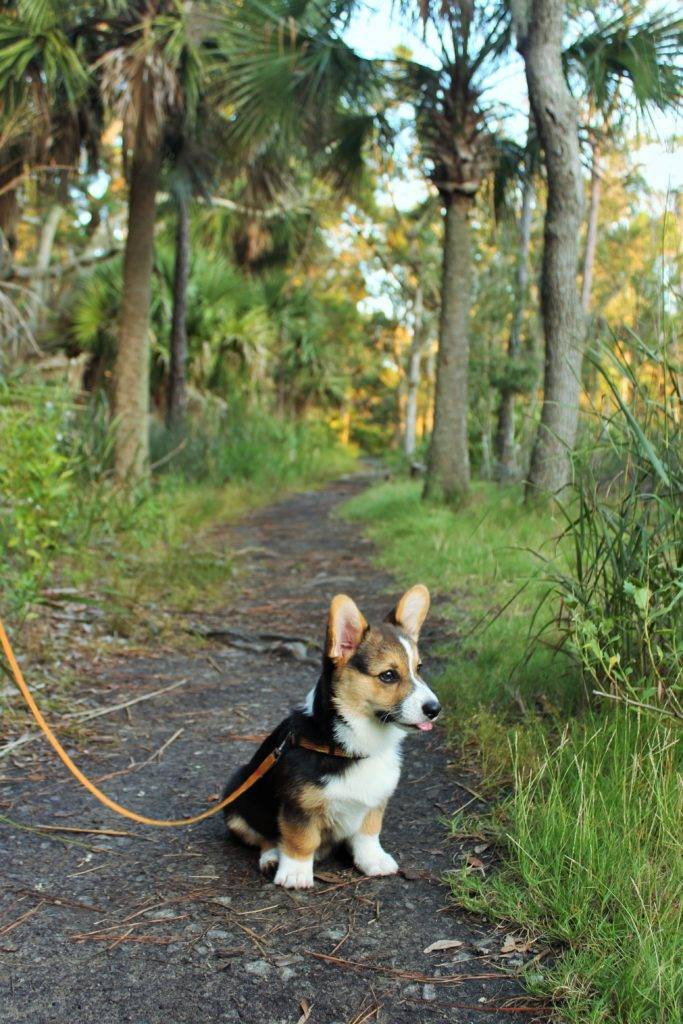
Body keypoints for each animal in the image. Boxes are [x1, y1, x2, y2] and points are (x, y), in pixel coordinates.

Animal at [222, 585, 440, 888]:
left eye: (419, 668)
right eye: (388, 675)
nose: (435, 709)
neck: (351, 745)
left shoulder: (375, 800)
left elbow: (369, 833)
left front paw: (374, 861)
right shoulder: (298, 806)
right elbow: (300, 839)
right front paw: (296, 873)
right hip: (237, 795)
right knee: (264, 836)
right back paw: (272, 857)